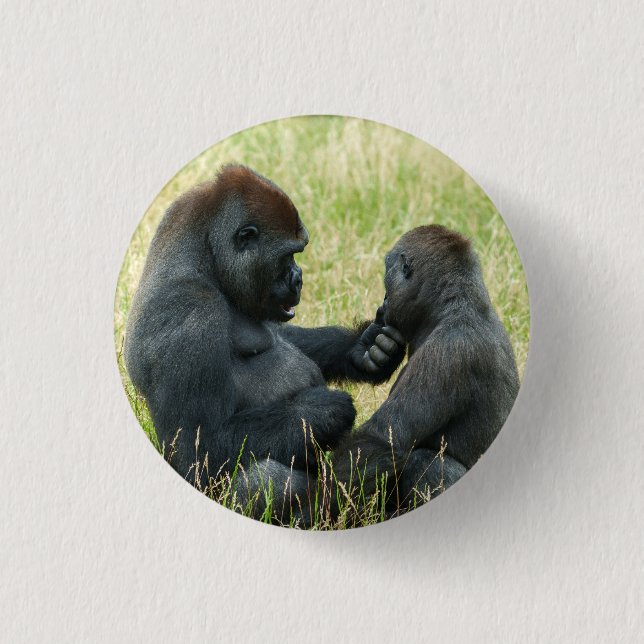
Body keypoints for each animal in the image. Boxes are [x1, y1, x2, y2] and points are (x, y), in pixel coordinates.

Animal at [123, 164, 405, 506]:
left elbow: (287, 336)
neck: (204, 258)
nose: (299, 279)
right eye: (288, 256)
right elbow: (197, 448)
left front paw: (364, 349)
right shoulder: (189, 310)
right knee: (263, 477)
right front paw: (319, 411)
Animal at [326, 225, 520, 522]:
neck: (455, 305)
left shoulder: (448, 351)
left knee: (427, 463)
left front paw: (309, 506)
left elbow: (383, 439)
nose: (384, 302)